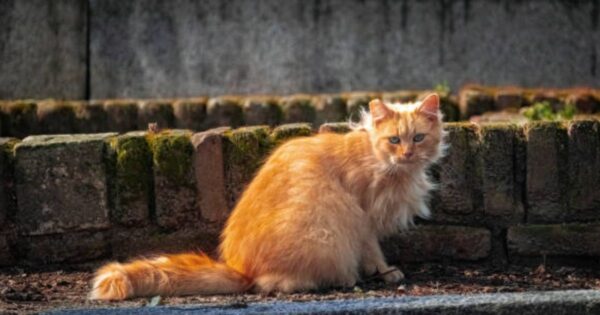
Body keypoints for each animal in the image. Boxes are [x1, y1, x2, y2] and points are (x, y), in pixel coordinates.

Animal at [89, 94, 446, 302]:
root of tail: (238, 268)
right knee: (268, 283)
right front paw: (385, 272)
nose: (407, 154)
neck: (382, 163)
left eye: (418, 138)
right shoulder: (363, 217)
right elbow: (374, 251)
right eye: (394, 140)